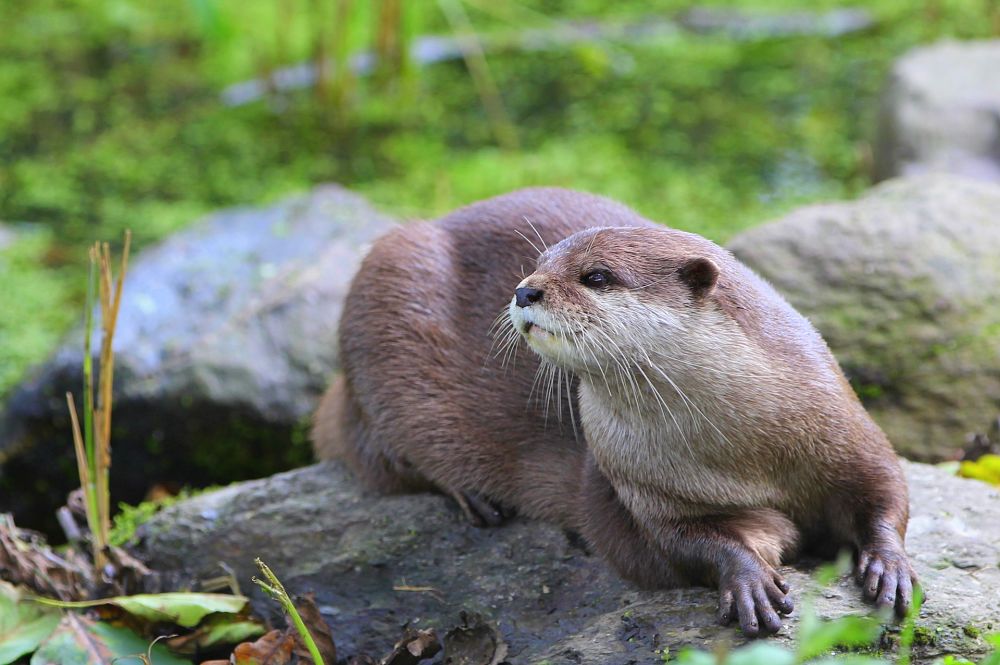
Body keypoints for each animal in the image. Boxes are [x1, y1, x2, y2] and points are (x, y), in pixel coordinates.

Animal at [312, 187, 916, 632]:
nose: (524, 290)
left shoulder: (847, 427)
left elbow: (886, 492)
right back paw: (473, 495)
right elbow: (685, 545)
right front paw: (747, 578)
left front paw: (890, 567)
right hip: (385, 294)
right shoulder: (645, 491)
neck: (751, 447)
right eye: (538, 262)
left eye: (596, 276)